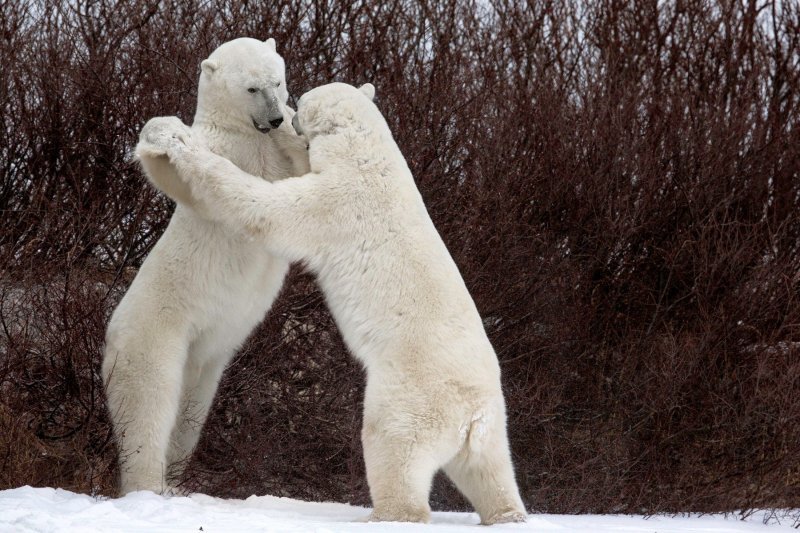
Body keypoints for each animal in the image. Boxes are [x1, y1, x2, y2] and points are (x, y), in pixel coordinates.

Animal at [101, 37, 310, 494]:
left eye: (277, 81)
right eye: (251, 88)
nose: (273, 117)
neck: (246, 134)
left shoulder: (272, 155)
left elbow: (305, 172)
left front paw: (298, 125)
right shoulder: (223, 150)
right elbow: (180, 174)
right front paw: (166, 133)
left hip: (206, 361)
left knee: (190, 414)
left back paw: (177, 479)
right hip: (154, 336)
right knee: (148, 406)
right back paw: (148, 484)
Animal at [137, 83, 524, 524]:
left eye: (303, 101)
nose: (287, 114)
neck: (369, 157)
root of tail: (471, 415)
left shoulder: (338, 202)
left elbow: (267, 208)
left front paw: (181, 144)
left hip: (411, 396)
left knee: (393, 445)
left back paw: (385, 513)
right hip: (493, 426)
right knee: (490, 470)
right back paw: (507, 513)